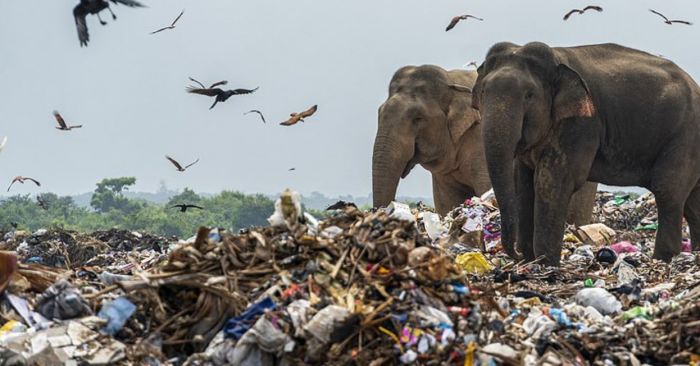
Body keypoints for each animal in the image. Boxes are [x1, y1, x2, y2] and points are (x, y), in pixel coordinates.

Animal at [470, 42, 700, 266]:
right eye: (483, 92)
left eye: (529, 95)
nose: (515, 255)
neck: (558, 59)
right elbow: (524, 185)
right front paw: (528, 262)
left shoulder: (581, 125)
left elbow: (551, 183)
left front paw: (545, 265)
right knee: (691, 201)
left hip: (685, 137)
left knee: (667, 191)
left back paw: (662, 259)